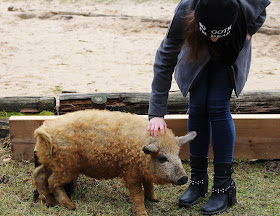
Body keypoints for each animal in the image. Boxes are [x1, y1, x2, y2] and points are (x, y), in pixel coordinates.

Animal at [32, 110, 196, 215]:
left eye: (178, 154)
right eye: (162, 158)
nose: (184, 178)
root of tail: (43, 132)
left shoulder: (143, 172)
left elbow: (149, 184)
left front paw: (155, 199)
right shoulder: (131, 172)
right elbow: (137, 192)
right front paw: (143, 213)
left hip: (52, 163)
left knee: (38, 174)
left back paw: (49, 202)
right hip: (66, 166)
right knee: (52, 181)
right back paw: (71, 206)